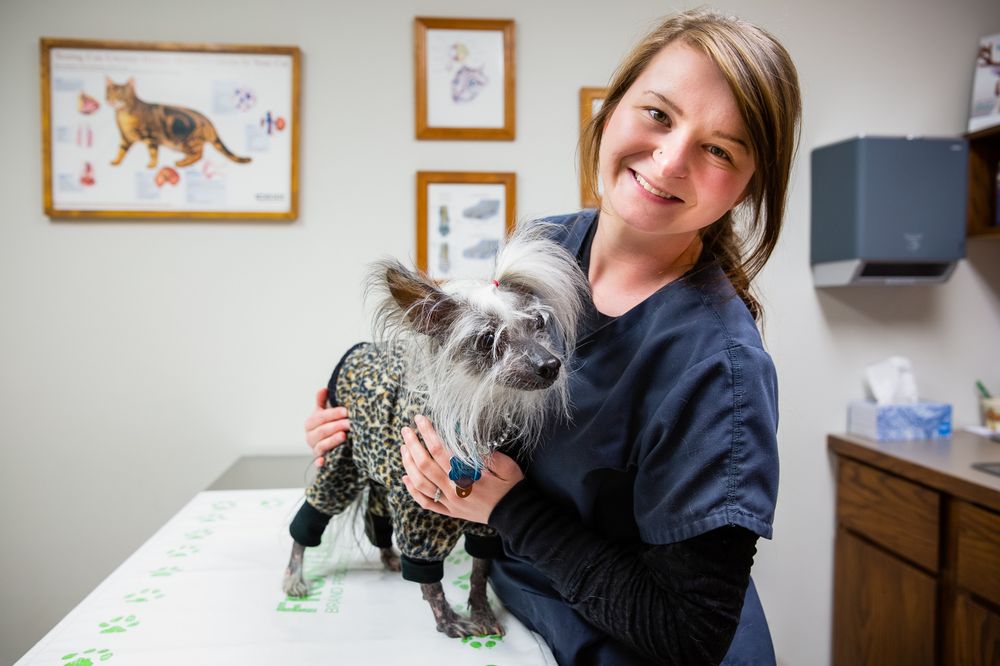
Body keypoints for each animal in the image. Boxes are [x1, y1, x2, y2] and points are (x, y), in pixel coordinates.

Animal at [105, 78, 251, 169]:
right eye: (109, 94)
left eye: (121, 95)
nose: (113, 101)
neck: (123, 114)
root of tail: (209, 122)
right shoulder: (125, 137)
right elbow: (121, 151)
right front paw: (116, 161)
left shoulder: (151, 137)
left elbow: (153, 153)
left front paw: (152, 165)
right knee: (197, 153)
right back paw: (184, 160)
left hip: (187, 141)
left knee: (199, 154)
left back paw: (182, 163)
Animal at [282, 223, 589, 637]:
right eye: (487, 340)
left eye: (538, 325)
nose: (550, 364)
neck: (481, 416)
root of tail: (358, 351)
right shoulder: (419, 512)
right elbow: (429, 577)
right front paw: (446, 618)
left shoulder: (487, 522)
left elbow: (480, 570)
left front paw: (481, 611)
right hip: (343, 459)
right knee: (310, 519)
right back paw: (294, 576)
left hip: (381, 473)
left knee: (376, 515)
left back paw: (388, 556)